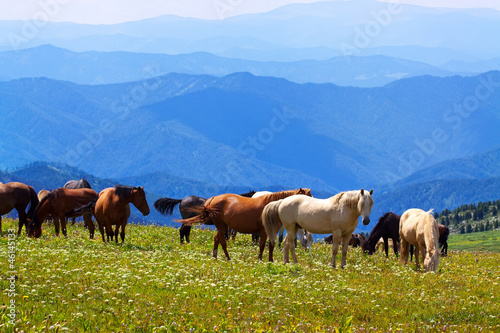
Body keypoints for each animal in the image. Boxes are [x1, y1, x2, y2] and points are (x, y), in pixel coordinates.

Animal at [176, 188, 310, 260]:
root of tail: (213, 199)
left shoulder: (272, 231)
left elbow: (271, 245)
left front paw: (270, 260)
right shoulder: (264, 230)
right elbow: (262, 245)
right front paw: (260, 259)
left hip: (222, 226)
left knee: (216, 239)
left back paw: (215, 256)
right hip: (221, 226)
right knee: (222, 241)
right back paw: (228, 258)